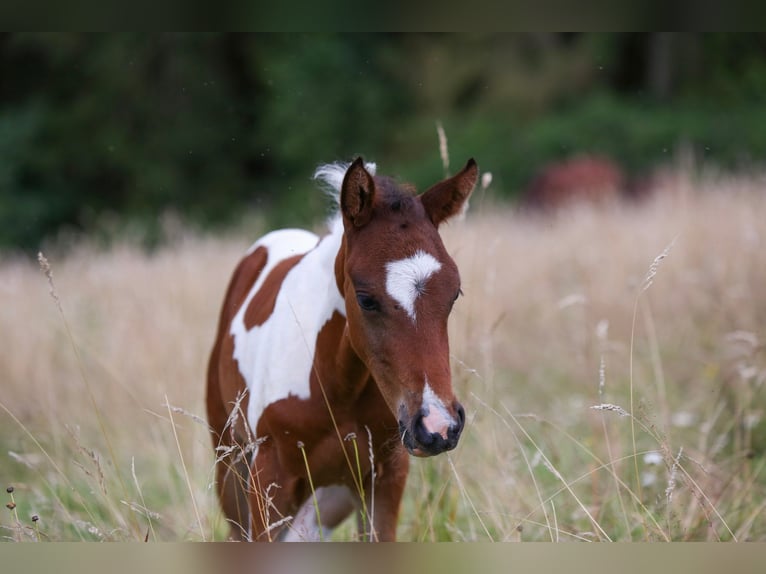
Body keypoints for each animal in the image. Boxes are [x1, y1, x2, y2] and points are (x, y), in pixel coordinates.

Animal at [207, 159, 476, 544]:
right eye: (365, 299)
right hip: (230, 467)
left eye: (454, 293)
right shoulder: (267, 481)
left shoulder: (384, 477)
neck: (336, 386)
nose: (437, 426)